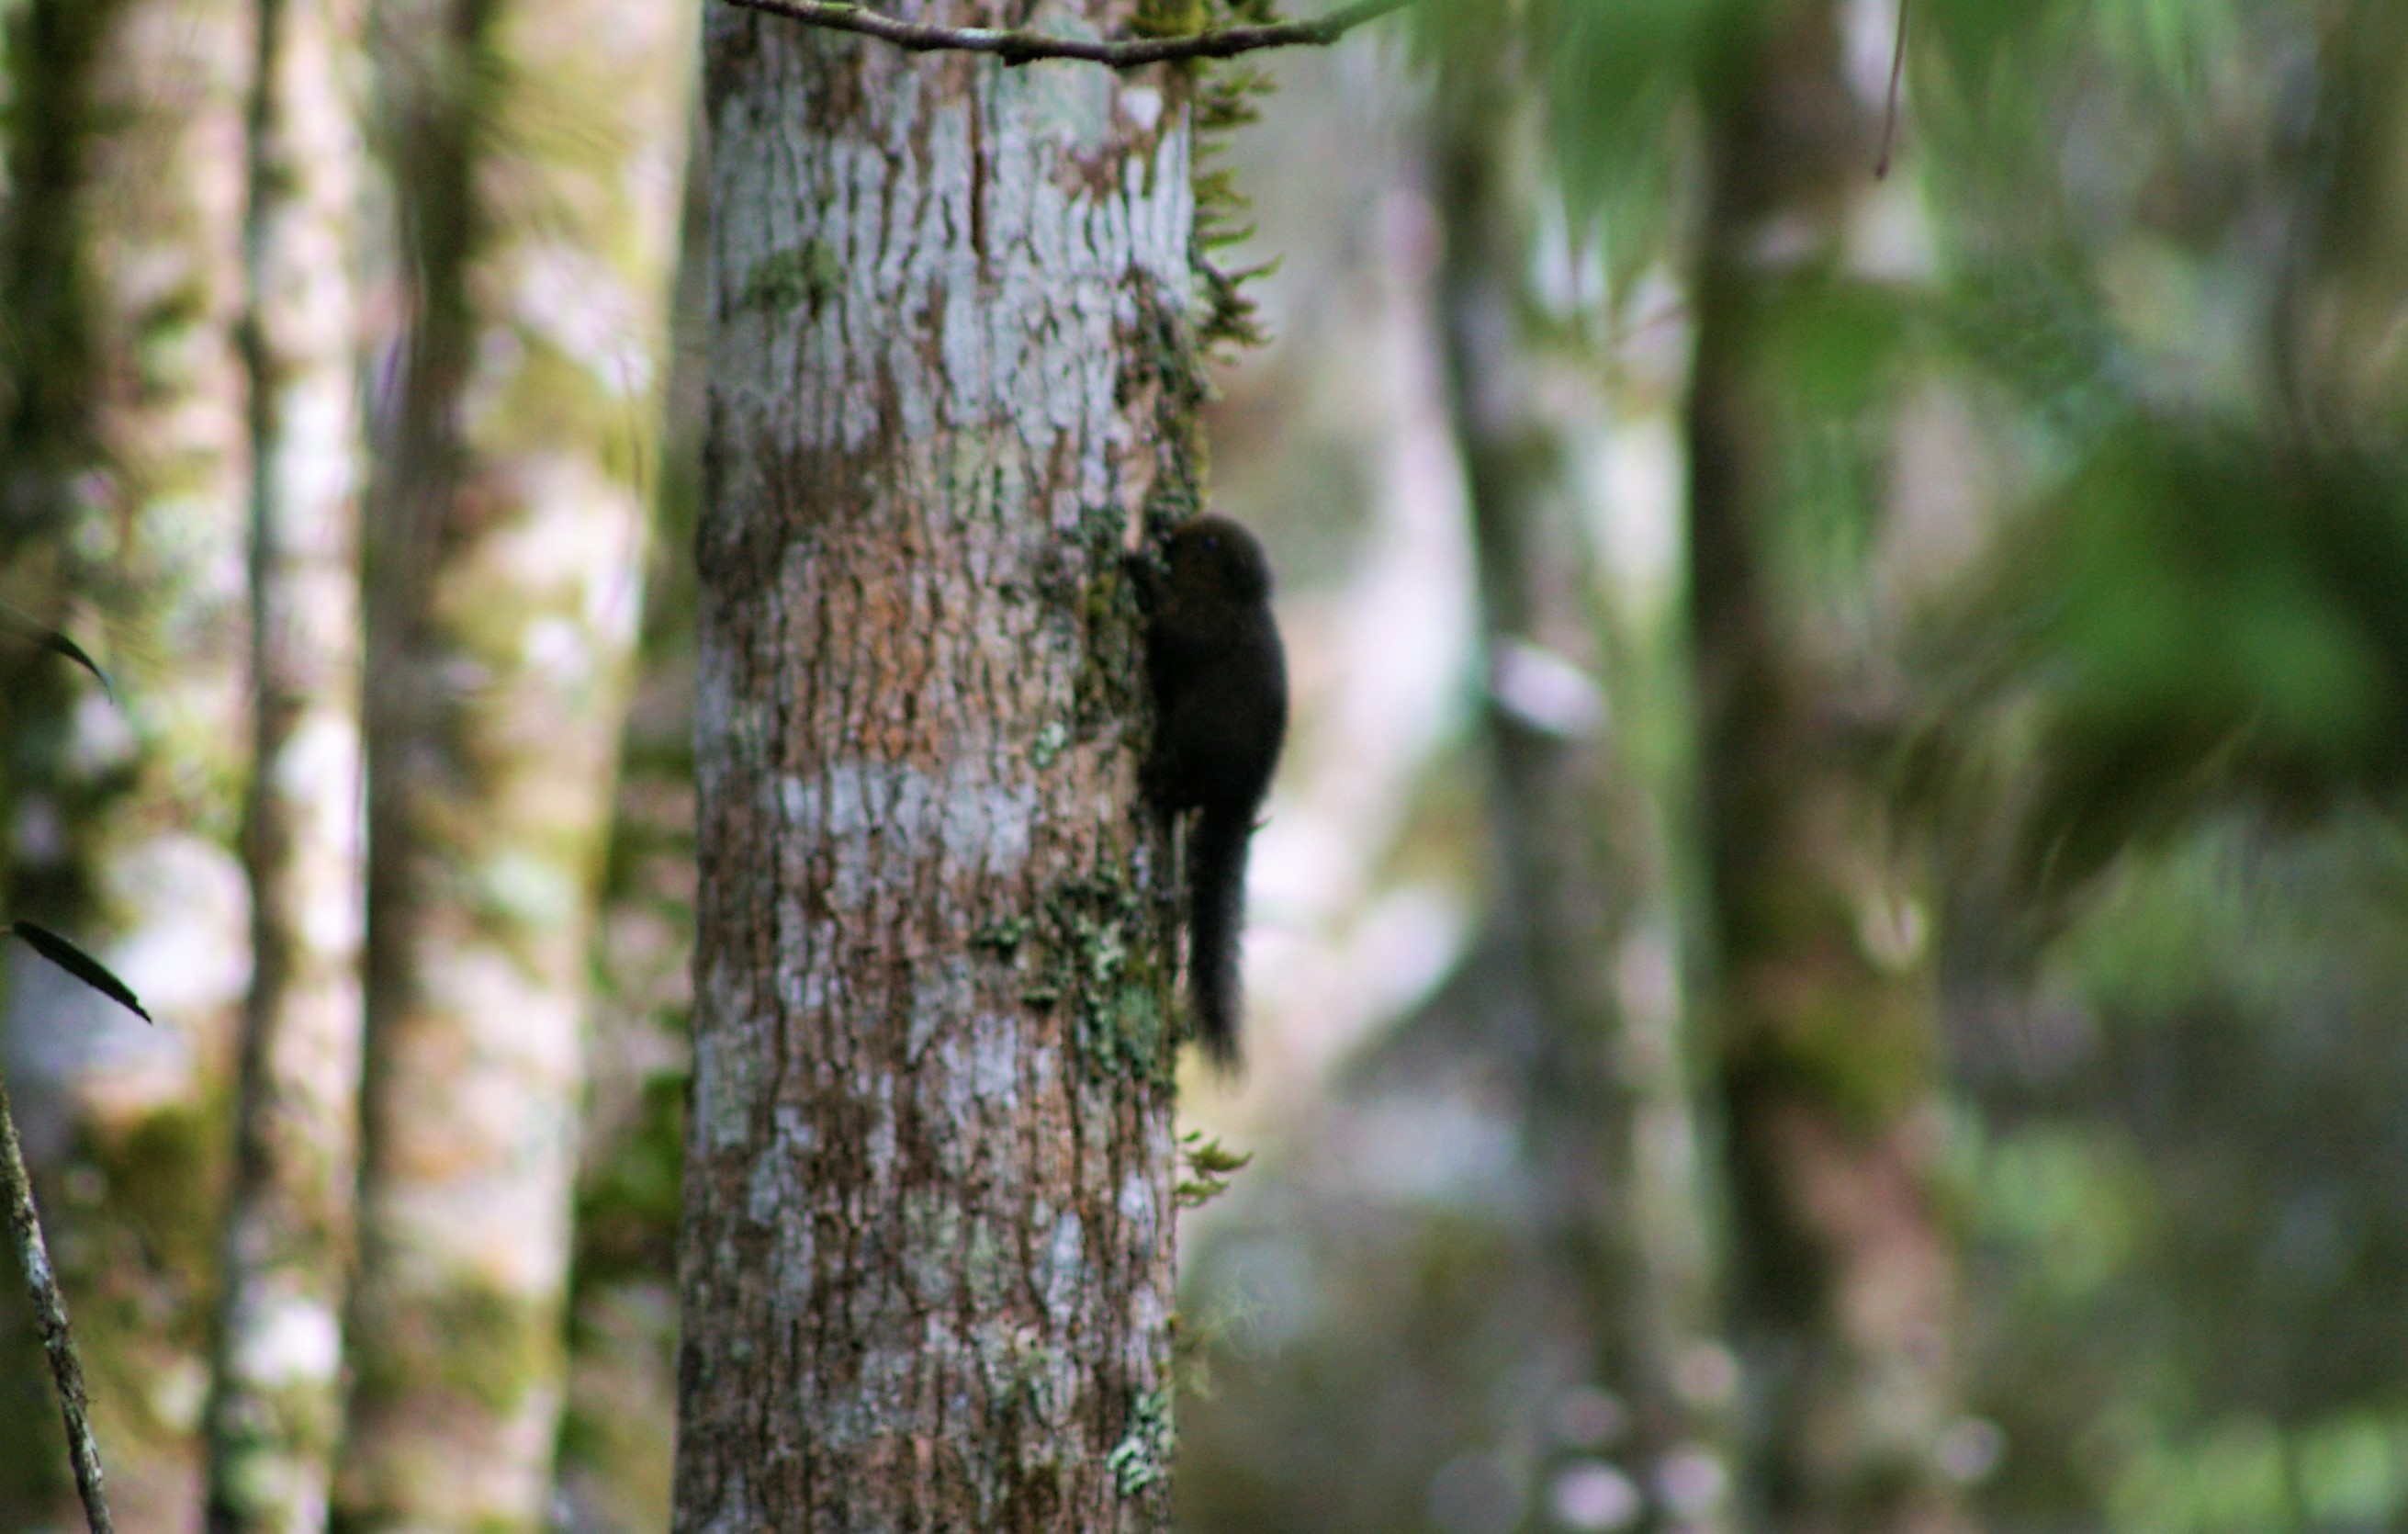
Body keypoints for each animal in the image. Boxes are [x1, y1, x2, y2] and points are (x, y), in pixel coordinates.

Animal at [1129, 515, 1288, 1071]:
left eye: (1211, 543)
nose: (1170, 535)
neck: (1234, 598)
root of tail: (1240, 804)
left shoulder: (1204, 627)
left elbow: (1170, 632)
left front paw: (1140, 570)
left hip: (1193, 741)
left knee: (1186, 791)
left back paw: (1158, 787)